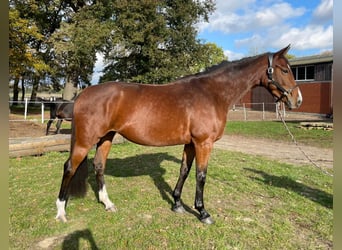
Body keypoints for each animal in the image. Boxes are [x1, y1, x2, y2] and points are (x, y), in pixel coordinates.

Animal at [55, 45, 302, 225]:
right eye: (284, 70)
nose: (297, 100)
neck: (212, 94)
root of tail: (83, 94)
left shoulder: (191, 144)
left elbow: (184, 170)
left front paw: (177, 204)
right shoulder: (204, 143)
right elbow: (201, 176)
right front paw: (203, 212)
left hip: (106, 137)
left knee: (99, 166)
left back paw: (108, 204)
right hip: (85, 141)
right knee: (69, 167)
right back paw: (61, 212)